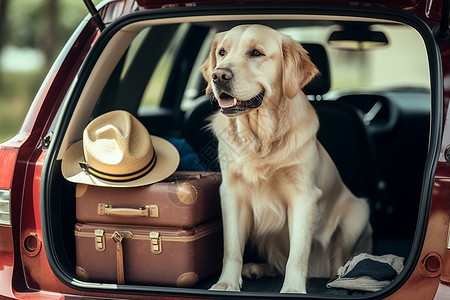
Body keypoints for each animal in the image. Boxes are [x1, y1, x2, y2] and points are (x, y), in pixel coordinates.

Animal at [202, 24, 370, 292]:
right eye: (222, 52)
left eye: (256, 53)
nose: (219, 76)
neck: (261, 137)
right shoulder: (231, 192)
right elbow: (232, 248)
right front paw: (226, 283)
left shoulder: (304, 196)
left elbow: (298, 254)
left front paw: (293, 289)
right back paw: (256, 269)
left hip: (356, 215)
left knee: (339, 261)